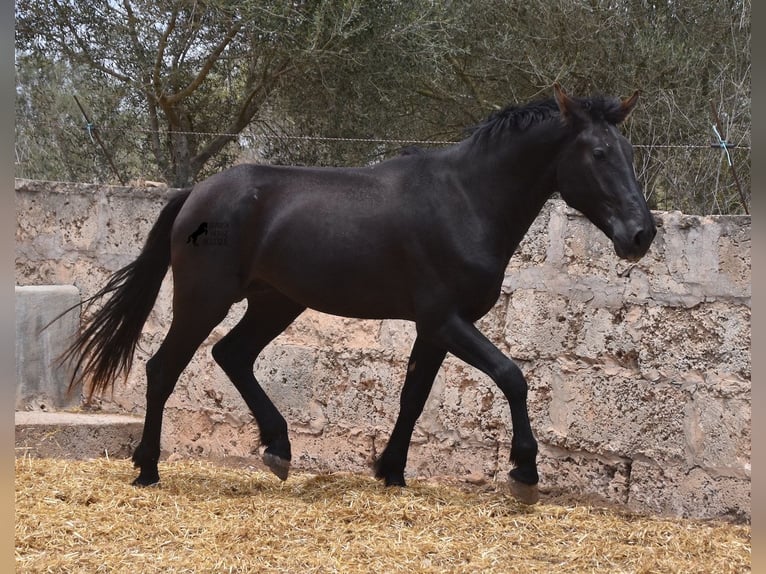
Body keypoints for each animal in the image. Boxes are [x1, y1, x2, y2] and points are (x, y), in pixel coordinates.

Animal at [63, 84, 656, 504]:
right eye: (599, 153)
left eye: (627, 149)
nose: (641, 235)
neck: (465, 201)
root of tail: (195, 193)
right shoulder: (446, 320)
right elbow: (512, 376)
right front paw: (524, 472)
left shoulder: (434, 329)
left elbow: (413, 397)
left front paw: (391, 472)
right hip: (204, 299)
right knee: (163, 368)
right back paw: (147, 468)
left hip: (276, 302)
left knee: (232, 355)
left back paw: (279, 451)